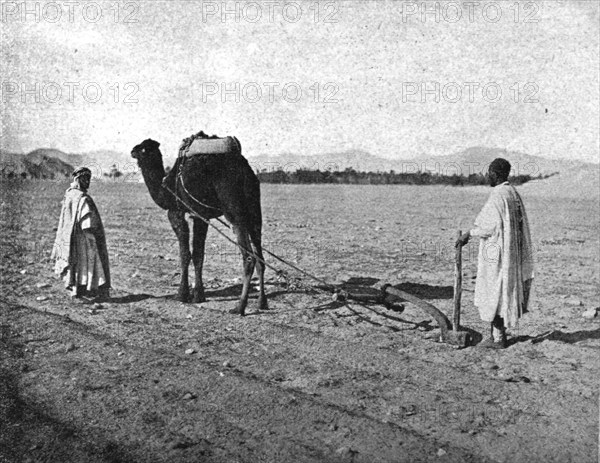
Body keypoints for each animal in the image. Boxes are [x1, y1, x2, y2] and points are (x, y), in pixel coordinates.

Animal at [132, 134, 268, 316]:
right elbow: (198, 254)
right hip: (254, 211)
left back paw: (239, 307)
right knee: (260, 256)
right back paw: (262, 303)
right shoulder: (201, 216)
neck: (165, 187)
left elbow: (185, 254)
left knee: (248, 257)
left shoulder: (177, 212)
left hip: (234, 209)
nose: (132, 150)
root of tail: (245, 172)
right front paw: (198, 295)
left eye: (142, 148)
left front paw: (182, 295)